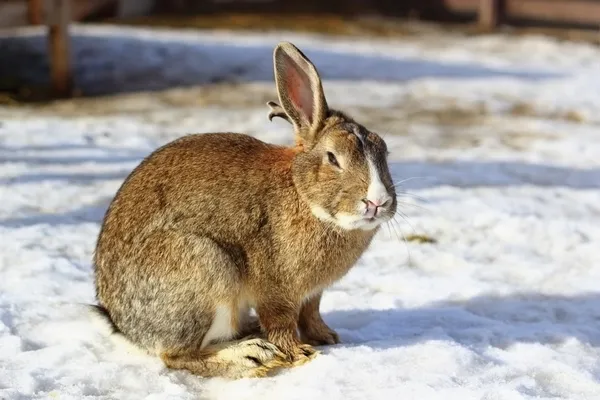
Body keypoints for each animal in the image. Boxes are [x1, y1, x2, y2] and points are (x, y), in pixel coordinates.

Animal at [91, 42, 396, 380]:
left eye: (385, 153)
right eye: (332, 158)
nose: (378, 202)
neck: (303, 195)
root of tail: (124, 324)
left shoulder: (311, 295)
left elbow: (310, 314)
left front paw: (327, 337)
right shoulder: (276, 289)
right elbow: (281, 323)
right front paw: (299, 354)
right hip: (204, 271)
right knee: (177, 355)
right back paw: (251, 355)